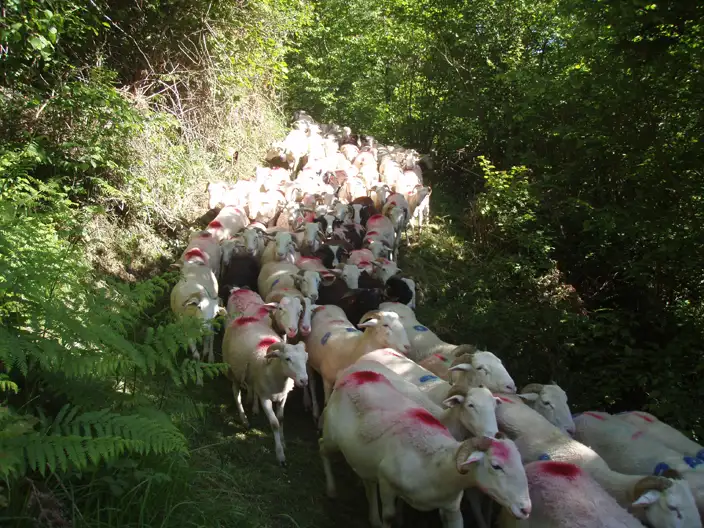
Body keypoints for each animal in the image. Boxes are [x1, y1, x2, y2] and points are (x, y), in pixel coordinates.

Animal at [221, 316, 306, 464]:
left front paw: (283, 442)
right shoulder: (265, 398)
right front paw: (280, 455)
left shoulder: (283, 396)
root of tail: (243, 318)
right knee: (236, 393)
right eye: (287, 358)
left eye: (306, 358)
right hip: (233, 371)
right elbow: (275, 423)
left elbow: (281, 418)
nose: (304, 380)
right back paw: (244, 419)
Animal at [320, 368, 528, 528]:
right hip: (332, 436)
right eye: (496, 466)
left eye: (521, 465)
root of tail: (361, 374)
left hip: (363, 456)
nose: (526, 509)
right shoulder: (386, 481)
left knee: (368, 482)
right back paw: (331, 490)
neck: (435, 463)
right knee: (322, 446)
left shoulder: (452, 508)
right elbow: (390, 516)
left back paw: (373, 519)